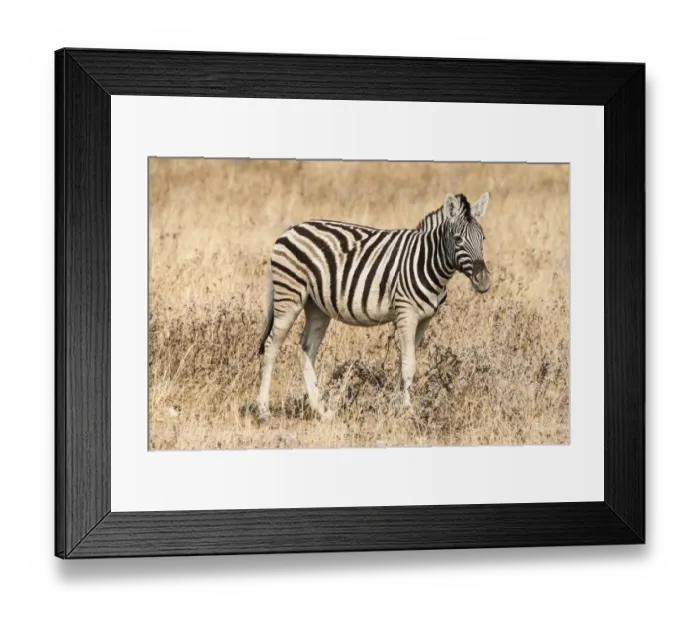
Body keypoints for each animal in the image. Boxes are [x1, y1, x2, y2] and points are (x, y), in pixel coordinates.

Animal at [256, 191, 491, 422]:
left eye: (483, 238)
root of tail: (291, 228)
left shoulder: (425, 319)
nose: (483, 281)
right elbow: (409, 364)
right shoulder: (406, 313)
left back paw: (321, 410)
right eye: (458, 239)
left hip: (317, 307)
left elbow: (403, 362)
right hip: (289, 295)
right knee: (271, 347)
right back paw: (264, 411)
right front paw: (407, 412)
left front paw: (395, 409)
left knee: (306, 350)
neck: (427, 262)